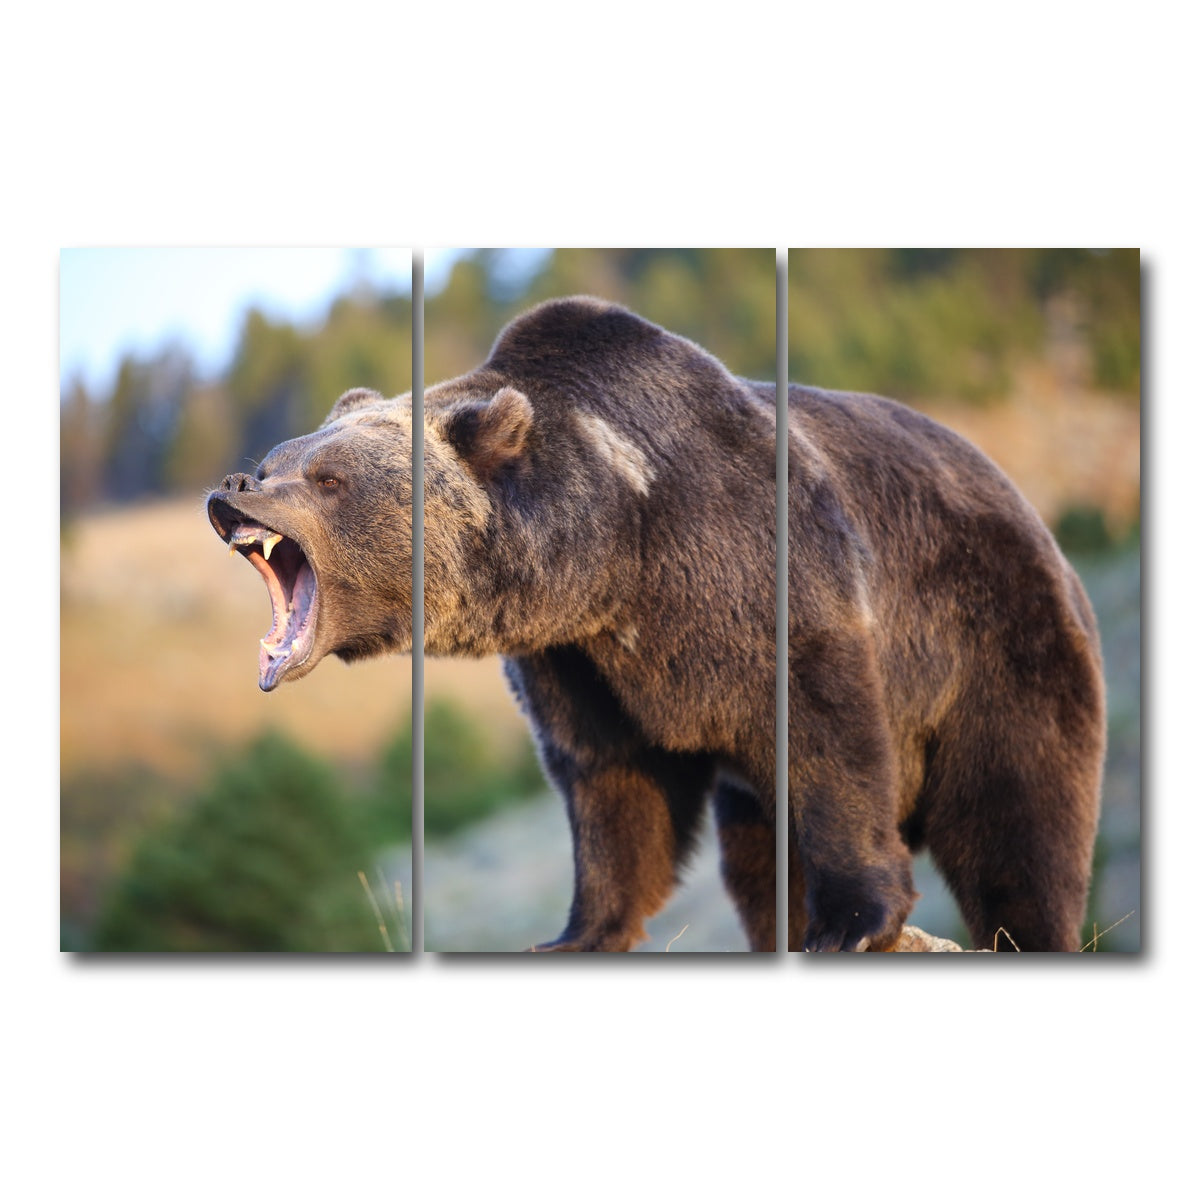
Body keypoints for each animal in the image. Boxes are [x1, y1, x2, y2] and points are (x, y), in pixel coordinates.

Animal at [206, 295, 1105, 953]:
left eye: (327, 477)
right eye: (275, 459)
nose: (233, 489)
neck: (618, 552)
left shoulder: (764, 572)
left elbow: (830, 737)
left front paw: (852, 923)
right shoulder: (579, 659)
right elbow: (610, 780)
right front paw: (575, 933)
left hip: (997, 642)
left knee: (1018, 820)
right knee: (759, 857)